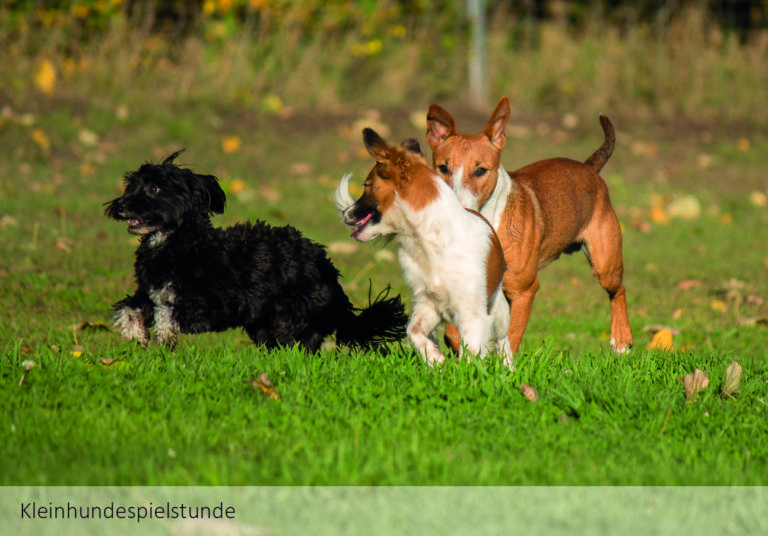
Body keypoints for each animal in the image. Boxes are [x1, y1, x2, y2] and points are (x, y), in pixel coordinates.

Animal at [104, 150, 407, 352]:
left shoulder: (209, 307)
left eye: (154, 188)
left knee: (302, 343)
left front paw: (163, 334)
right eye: (131, 186)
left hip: (292, 316)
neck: (177, 244)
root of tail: (331, 272)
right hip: (264, 323)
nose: (119, 205)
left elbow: (167, 312)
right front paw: (136, 332)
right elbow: (128, 307)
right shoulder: (151, 292)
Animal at [334, 129, 513, 368]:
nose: (345, 213)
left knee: (503, 339)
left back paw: (509, 367)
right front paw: (435, 360)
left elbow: (471, 354)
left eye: (367, 186)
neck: (429, 241)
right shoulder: (428, 303)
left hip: (498, 308)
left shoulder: (473, 314)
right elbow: (413, 331)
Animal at [426, 97, 633, 355]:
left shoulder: (524, 291)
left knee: (618, 289)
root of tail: (589, 168)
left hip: (605, 263)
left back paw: (621, 340)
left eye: (480, 170)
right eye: (443, 167)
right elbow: (454, 333)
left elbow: (511, 336)